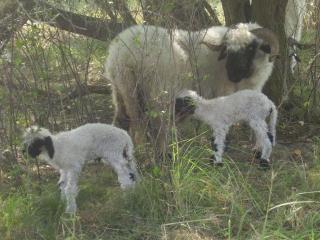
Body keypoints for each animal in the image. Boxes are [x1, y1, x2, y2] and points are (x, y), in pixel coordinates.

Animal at [104, 23, 278, 158]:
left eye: (251, 47)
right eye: (228, 49)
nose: (232, 73)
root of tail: (123, 54)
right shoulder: (222, 92)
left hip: (122, 89)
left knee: (123, 120)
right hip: (158, 90)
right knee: (156, 123)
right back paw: (163, 154)